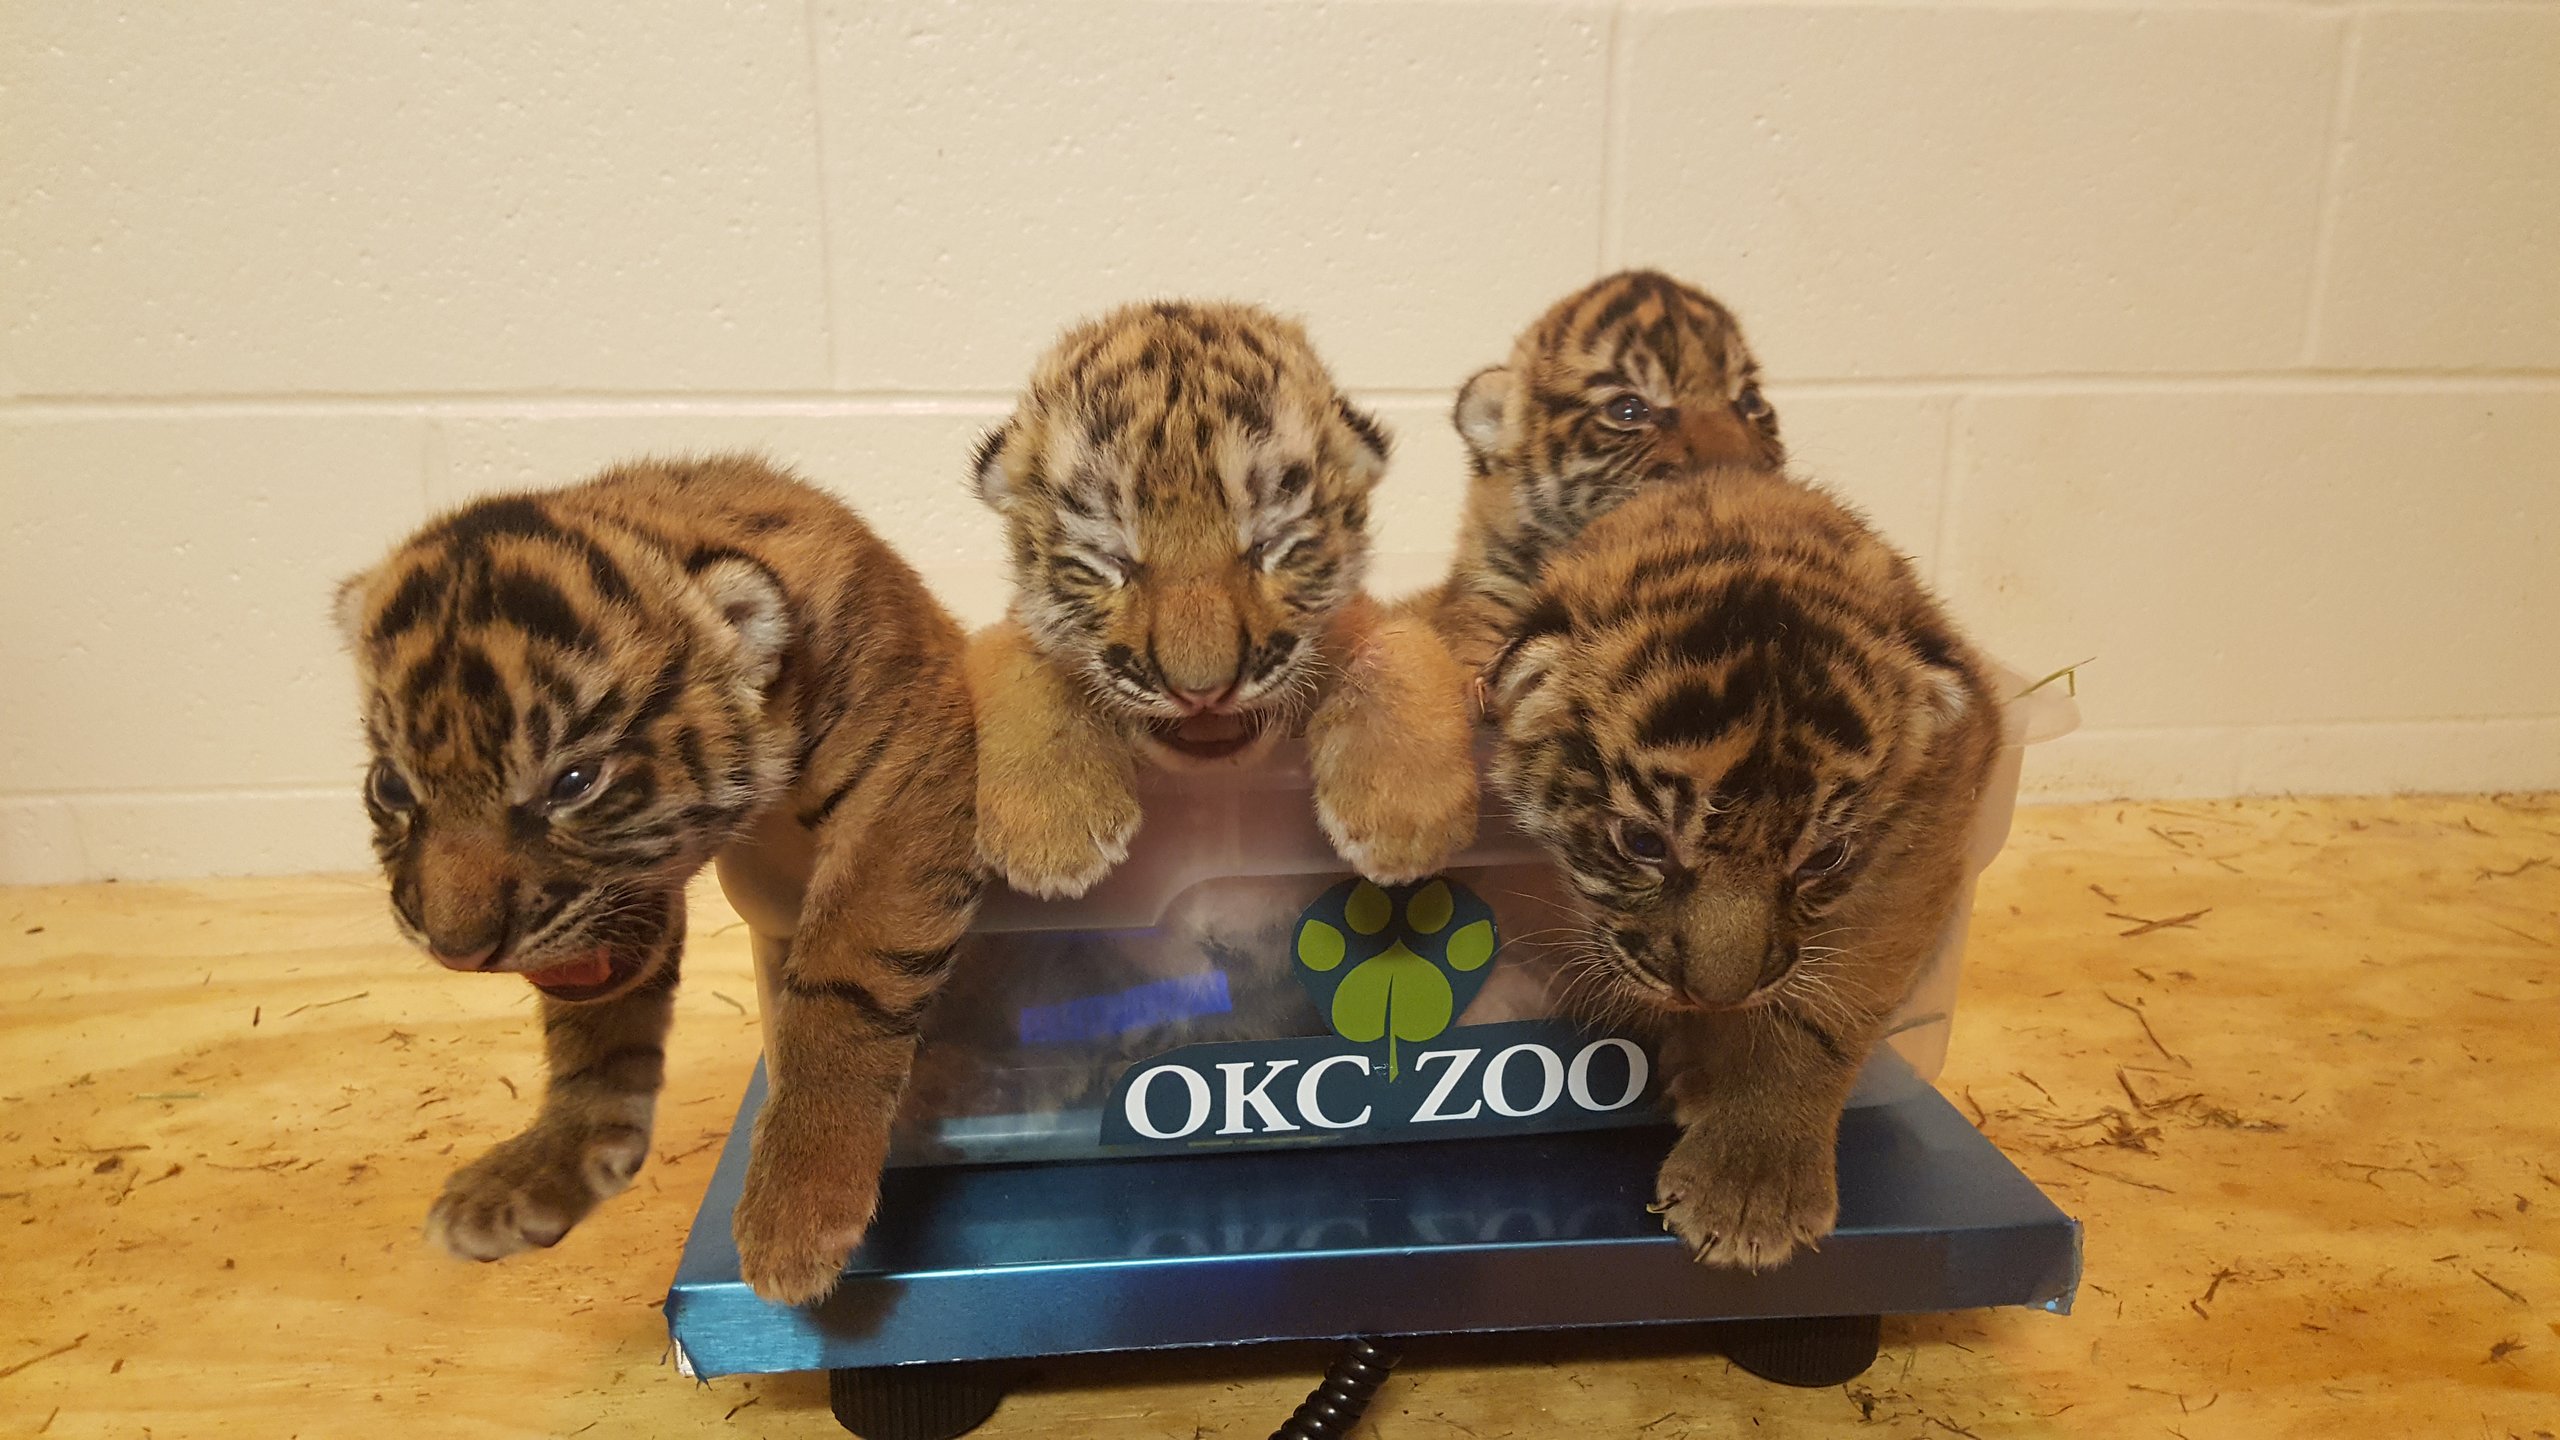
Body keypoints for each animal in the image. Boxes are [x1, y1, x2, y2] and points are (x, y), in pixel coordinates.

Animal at [333, 453, 980, 1306]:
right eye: (392, 788)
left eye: (574, 782)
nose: (458, 952)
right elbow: (592, 1035)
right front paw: (545, 1163)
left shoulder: (905, 774)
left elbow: (844, 981)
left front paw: (798, 1210)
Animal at [967, 299, 1478, 898]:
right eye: (1111, 558)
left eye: (1270, 544)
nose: (1202, 692)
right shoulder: (1004, 631)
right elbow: (1017, 664)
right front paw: (1052, 834)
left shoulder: (1369, 616)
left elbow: (1402, 645)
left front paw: (1405, 823)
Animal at [1482, 463, 2000, 1270]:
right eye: (1643, 843)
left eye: (1824, 857)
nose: (1716, 998)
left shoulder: (1925, 840)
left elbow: (1817, 1013)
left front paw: (1752, 1184)